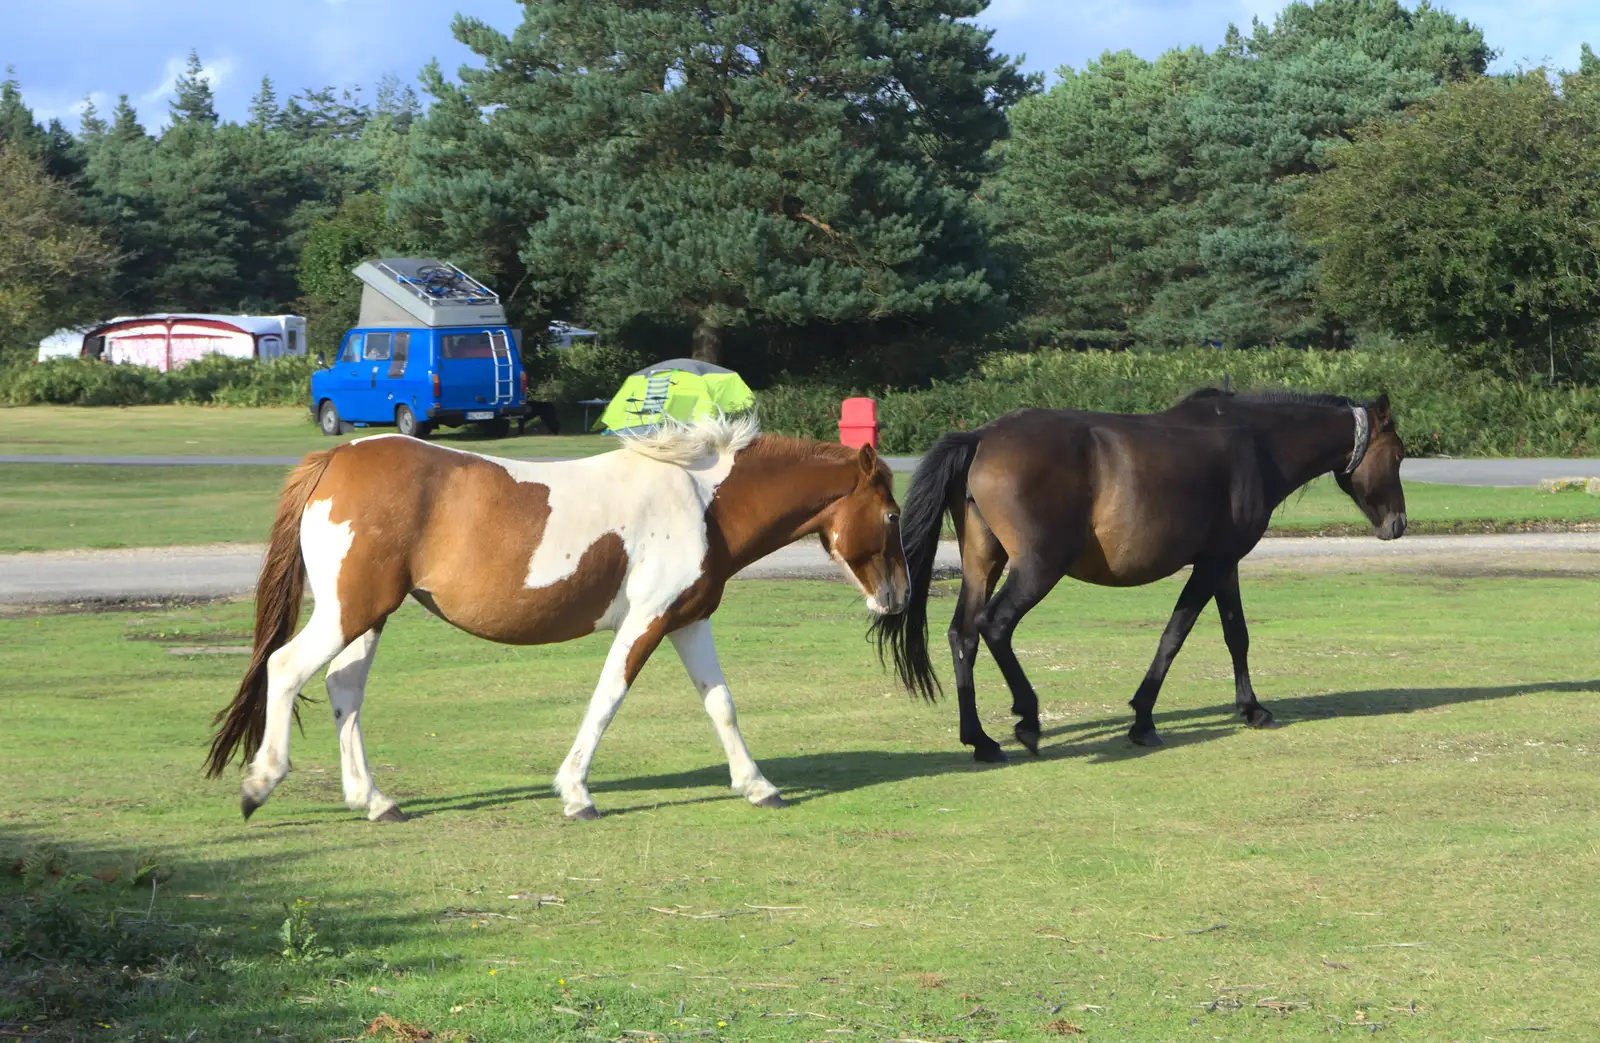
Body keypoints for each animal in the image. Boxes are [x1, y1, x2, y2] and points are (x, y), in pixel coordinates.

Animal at [206, 415, 908, 825]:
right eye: (893, 515)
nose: (898, 597)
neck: (700, 499)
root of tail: (339, 458)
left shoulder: (687, 621)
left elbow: (721, 704)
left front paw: (758, 785)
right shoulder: (646, 622)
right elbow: (607, 700)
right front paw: (576, 793)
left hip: (366, 617)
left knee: (343, 690)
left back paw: (374, 801)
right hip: (348, 613)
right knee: (285, 668)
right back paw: (260, 784)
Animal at [870, 390, 1408, 758]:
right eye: (1400, 456)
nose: (1398, 523)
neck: (1255, 443)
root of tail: (981, 437)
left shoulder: (1225, 563)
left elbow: (1236, 635)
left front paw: (1252, 707)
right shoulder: (1212, 564)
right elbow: (1175, 635)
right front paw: (1144, 719)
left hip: (984, 561)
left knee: (963, 634)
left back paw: (980, 739)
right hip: (1038, 568)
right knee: (995, 625)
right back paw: (1027, 718)